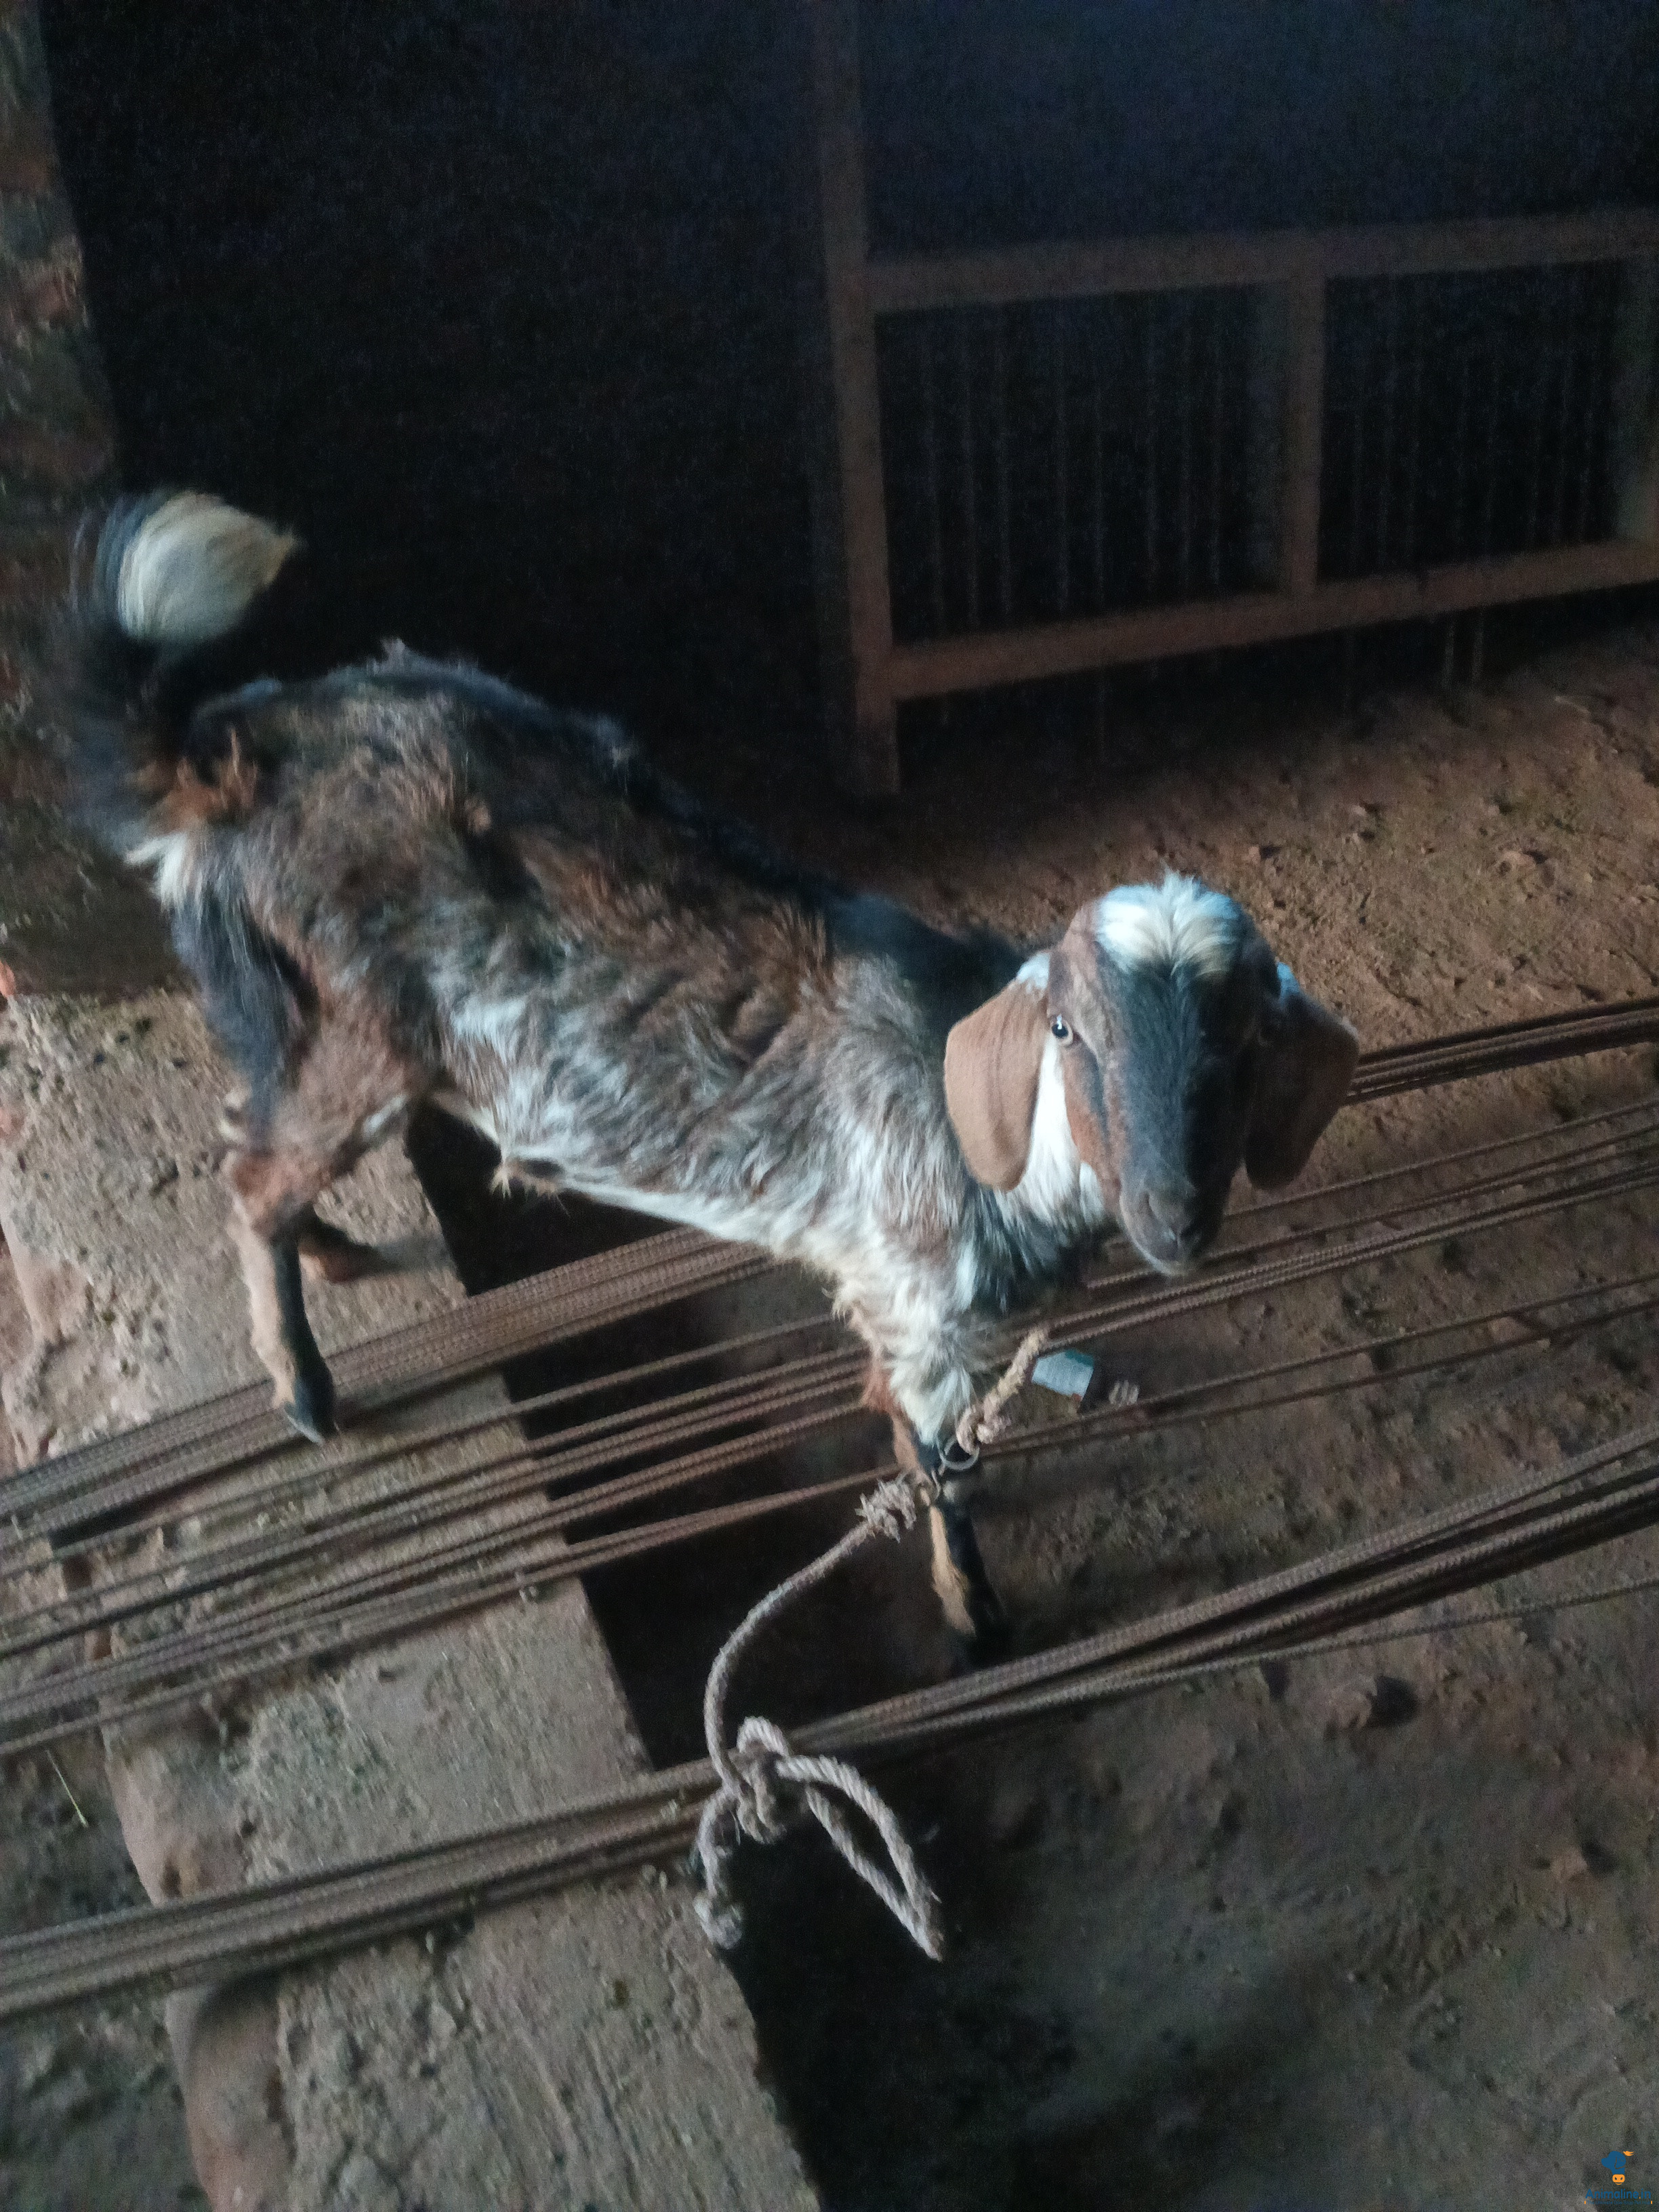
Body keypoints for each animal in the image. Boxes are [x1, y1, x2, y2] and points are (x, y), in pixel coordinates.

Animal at [53, 492, 1359, 1647]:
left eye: (1247, 1039)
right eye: (1071, 1034)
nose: (1176, 1216)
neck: (996, 1150)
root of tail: (226, 760)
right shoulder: (919, 1308)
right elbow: (935, 1473)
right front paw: (976, 1614)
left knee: (255, 1137)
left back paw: (331, 1254)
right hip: (358, 1031)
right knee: (251, 1176)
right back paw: (303, 1387)